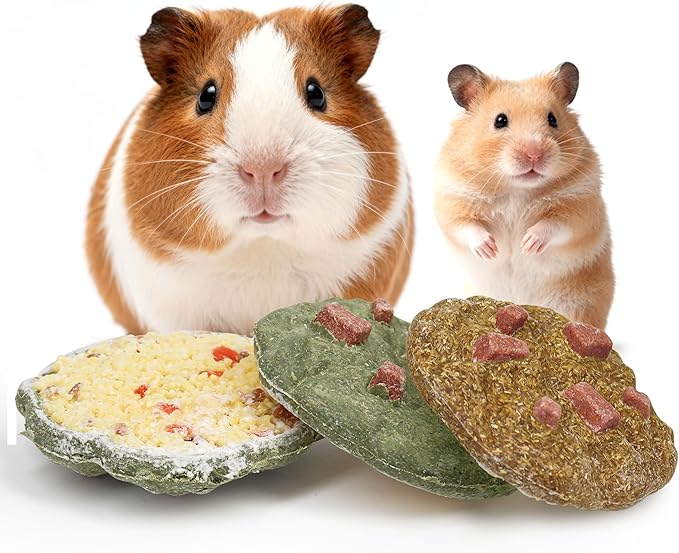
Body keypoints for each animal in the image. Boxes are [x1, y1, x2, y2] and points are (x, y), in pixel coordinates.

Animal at [435, 62, 614, 328]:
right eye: (500, 121)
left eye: (552, 119)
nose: (534, 154)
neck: (517, 190)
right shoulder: (452, 200)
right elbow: (466, 227)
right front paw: (490, 249)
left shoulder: (581, 206)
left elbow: (555, 225)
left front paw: (527, 244)